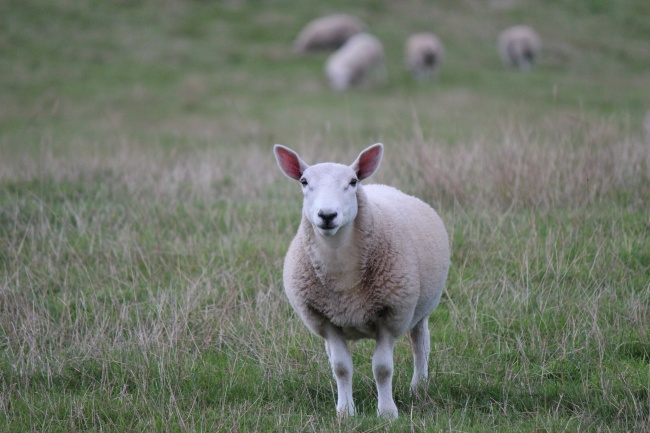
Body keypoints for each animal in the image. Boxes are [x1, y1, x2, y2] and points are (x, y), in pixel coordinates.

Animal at [270, 143, 448, 416]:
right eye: (304, 181)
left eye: (352, 182)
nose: (327, 215)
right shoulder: (325, 320)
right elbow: (341, 367)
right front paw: (345, 411)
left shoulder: (391, 316)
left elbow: (382, 369)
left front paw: (387, 412)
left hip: (420, 310)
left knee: (421, 345)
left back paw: (419, 387)